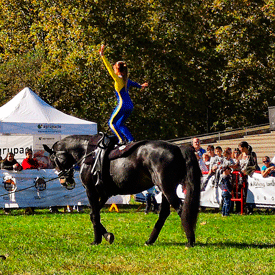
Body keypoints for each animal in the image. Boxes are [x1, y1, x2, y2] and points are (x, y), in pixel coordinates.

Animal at [43, 135, 203, 247]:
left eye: (53, 160)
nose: (65, 181)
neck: (88, 153)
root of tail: (177, 148)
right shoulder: (104, 194)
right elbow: (93, 215)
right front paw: (107, 236)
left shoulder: (91, 191)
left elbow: (94, 215)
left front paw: (97, 240)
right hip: (165, 189)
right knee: (164, 213)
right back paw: (150, 240)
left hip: (167, 188)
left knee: (181, 209)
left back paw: (190, 240)